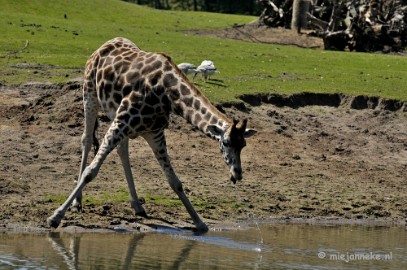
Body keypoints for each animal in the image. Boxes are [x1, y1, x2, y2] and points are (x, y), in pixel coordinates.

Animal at [47, 37, 256, 231]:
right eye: (226, 143)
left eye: (243, 145)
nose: (237, 174)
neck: (167, 94)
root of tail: (103, 46)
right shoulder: (123, 121)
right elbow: (90, 171)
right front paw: (55, 216)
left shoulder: (154, 133)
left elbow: (175, 181)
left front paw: (199, 222)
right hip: (90, 96)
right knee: (87, 140)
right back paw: (77, 203)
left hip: (115, 115)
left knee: (122, 150)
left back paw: (137, 206)